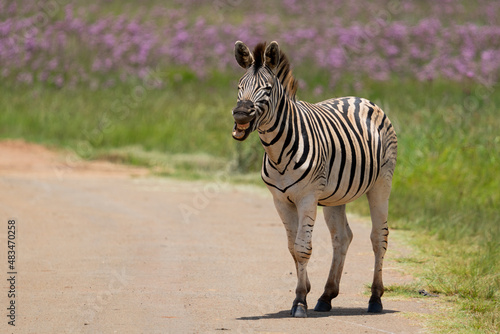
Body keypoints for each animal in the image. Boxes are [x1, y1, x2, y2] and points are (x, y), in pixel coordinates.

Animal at [230, 41, 398, 318]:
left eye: (267, 89)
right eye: (239, 87)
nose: (241, 115)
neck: (278, 151)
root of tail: (361, 99)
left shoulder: (307, 198)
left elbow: (302, 247)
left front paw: (299, 301)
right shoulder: (280, 200)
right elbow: (292, 247)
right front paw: (307, 291)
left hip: (381, 183)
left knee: (378, 237)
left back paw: (375, 299)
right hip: (336, 195)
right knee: (342, 237)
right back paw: (326, 296)